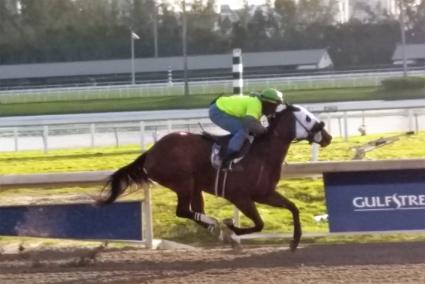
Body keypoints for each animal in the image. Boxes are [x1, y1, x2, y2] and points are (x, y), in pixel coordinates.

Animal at [98, 104, 332, 251]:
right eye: (307, 118)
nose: (328, 136)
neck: (261, 153)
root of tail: (150, 152)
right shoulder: (240, 197)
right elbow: (259, 224)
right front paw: (232, 228)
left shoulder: (265, 194)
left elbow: (293, 208)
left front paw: (295, 242)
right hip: (183, 182)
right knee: (183, 211)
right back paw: (217, 225)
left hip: (194, 186)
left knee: (193, 211)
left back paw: (215, 228)